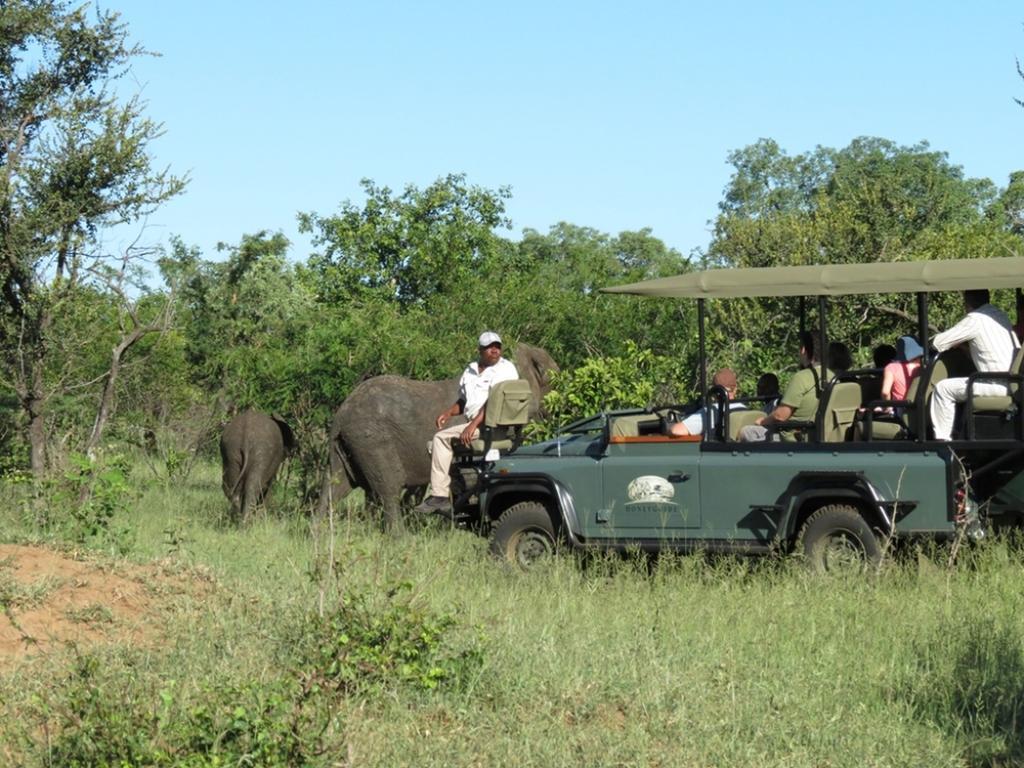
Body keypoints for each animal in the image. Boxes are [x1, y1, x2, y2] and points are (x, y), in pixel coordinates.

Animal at [321, 344, 557, 528]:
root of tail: (341, 414)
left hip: (350, 443)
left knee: (335, 486)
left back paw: (320, 534)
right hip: (371, 438)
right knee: (388, 487)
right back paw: (401, 540)